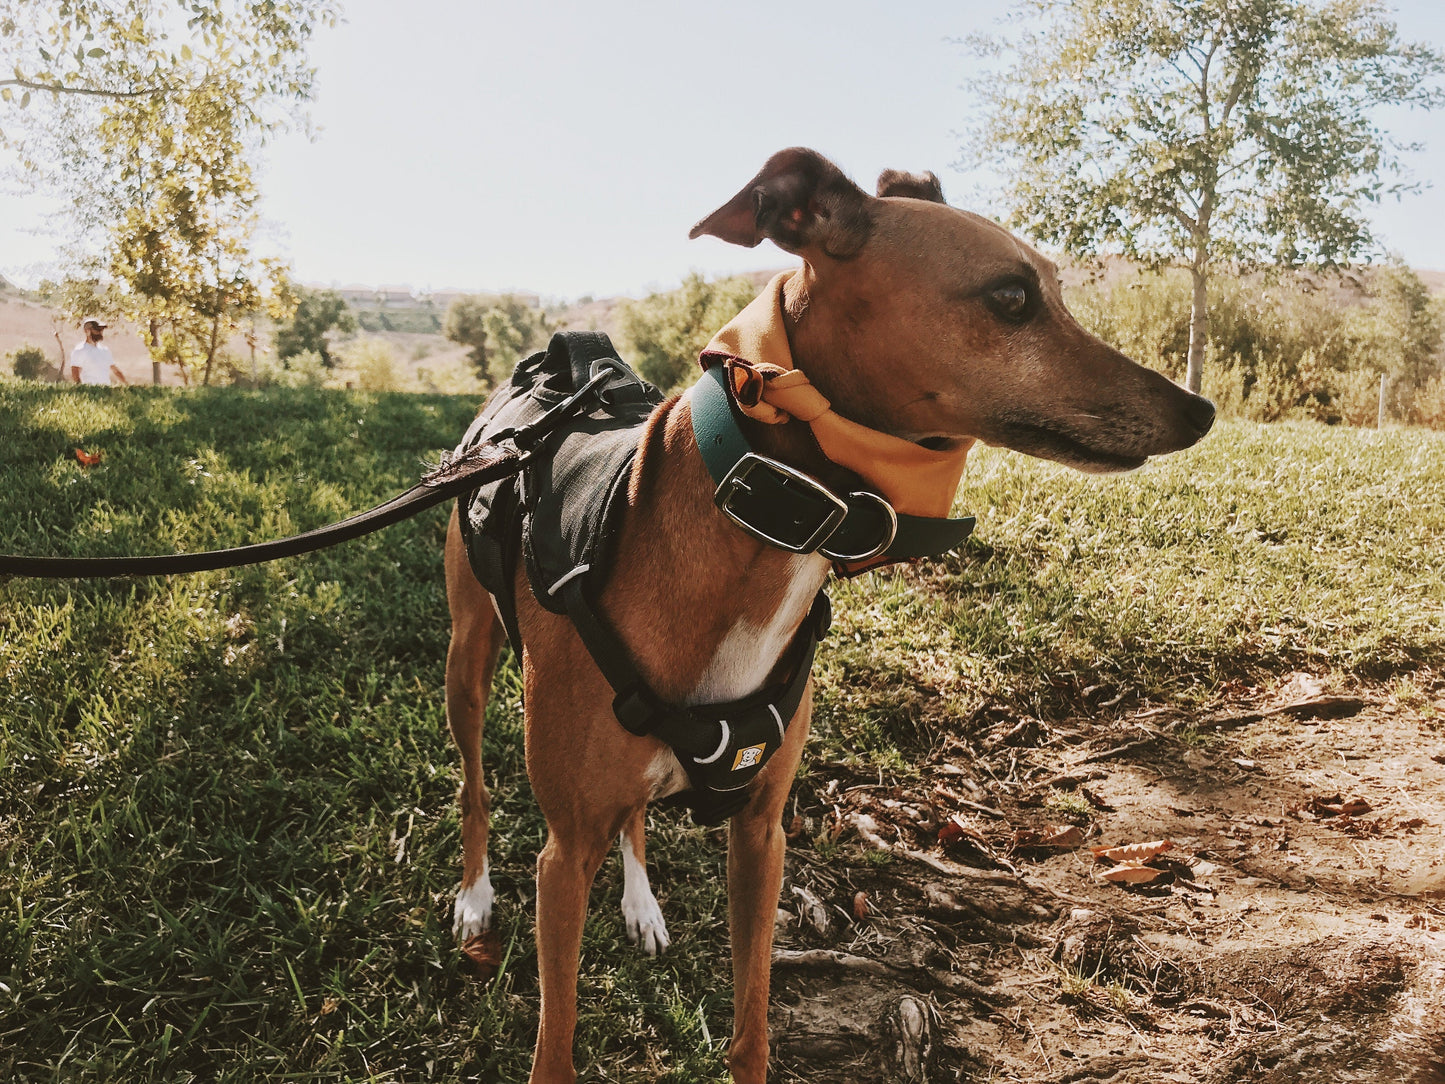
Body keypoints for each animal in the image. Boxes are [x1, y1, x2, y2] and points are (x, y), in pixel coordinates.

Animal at [436, 146, 1208, 1084]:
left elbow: (751, 1025)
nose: (1198, 410)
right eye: (1011, 297)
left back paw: (642, 902)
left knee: (633, 819)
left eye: (1054, 288)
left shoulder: (762, 834)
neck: (758, 518)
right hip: (468, 661)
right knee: (475, 784)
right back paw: (475, 898)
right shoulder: (563, 855)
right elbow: (556, 1042)